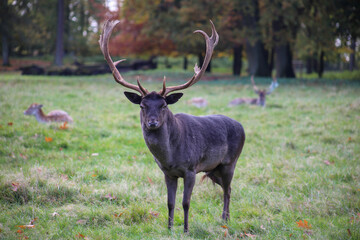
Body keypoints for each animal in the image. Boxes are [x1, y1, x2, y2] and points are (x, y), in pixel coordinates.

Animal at [99, 19, 245, 232]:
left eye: (164, 105)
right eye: (142, 105)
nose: (152, 122)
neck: (171, 157)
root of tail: (242, 127)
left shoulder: (191, 169)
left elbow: (186, 202)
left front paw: (185, 229)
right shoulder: (168, 173)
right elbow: (170, 202)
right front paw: (169, 229)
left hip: (230, 162)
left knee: (228, 190)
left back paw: (225, 219)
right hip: (214, 169)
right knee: (227, 188)